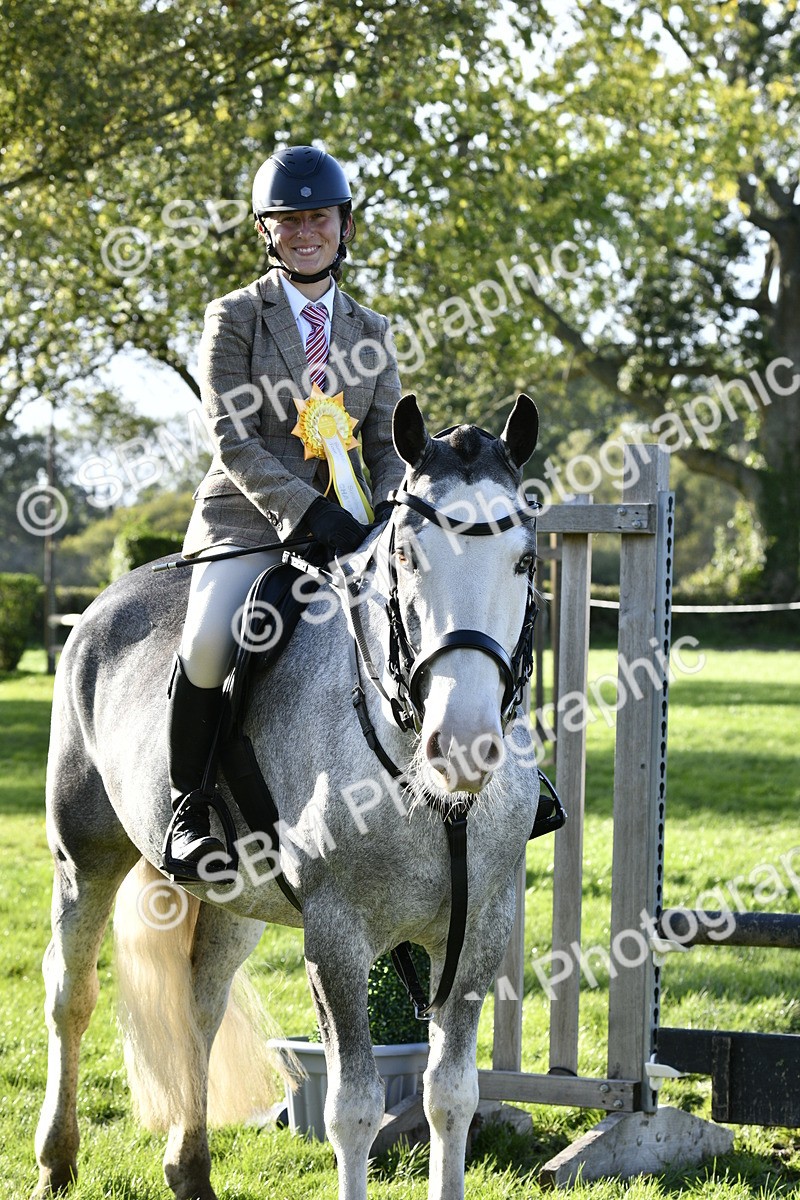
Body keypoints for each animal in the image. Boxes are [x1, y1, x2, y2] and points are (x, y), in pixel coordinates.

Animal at [33, 393, 542, 1200]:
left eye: (523, 560)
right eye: (406, 557)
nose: (462, 743)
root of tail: (108, 600)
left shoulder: (479, 933)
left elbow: (453, 1096)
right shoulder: (336, 937)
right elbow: (353, 1109)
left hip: (233, 896)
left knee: (200, 1001)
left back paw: (189, 1167)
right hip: (84, 856)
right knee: (70, 993)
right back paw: (57, 1158)